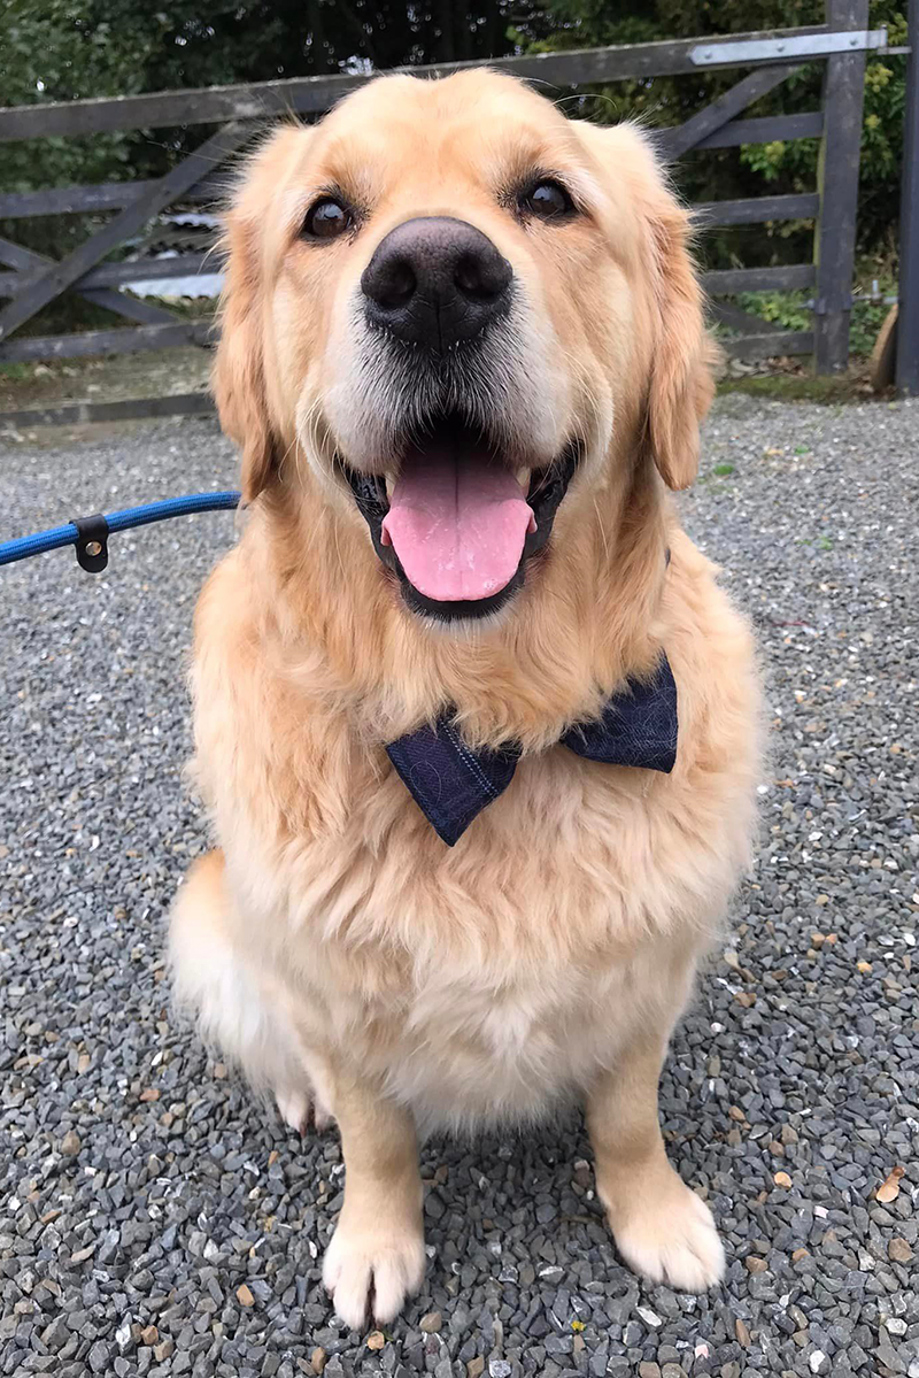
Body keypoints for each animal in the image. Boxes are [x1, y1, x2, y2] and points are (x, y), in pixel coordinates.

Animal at [170, 69, 760, 1328]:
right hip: (211, 911)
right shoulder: (337, 997)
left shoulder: (650, 973)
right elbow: (377, 1135)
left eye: (546, 197)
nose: (433, 277)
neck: (486, 729)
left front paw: (654, 1216)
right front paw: (374, 1245)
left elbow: (627, 1113)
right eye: (327, 218)